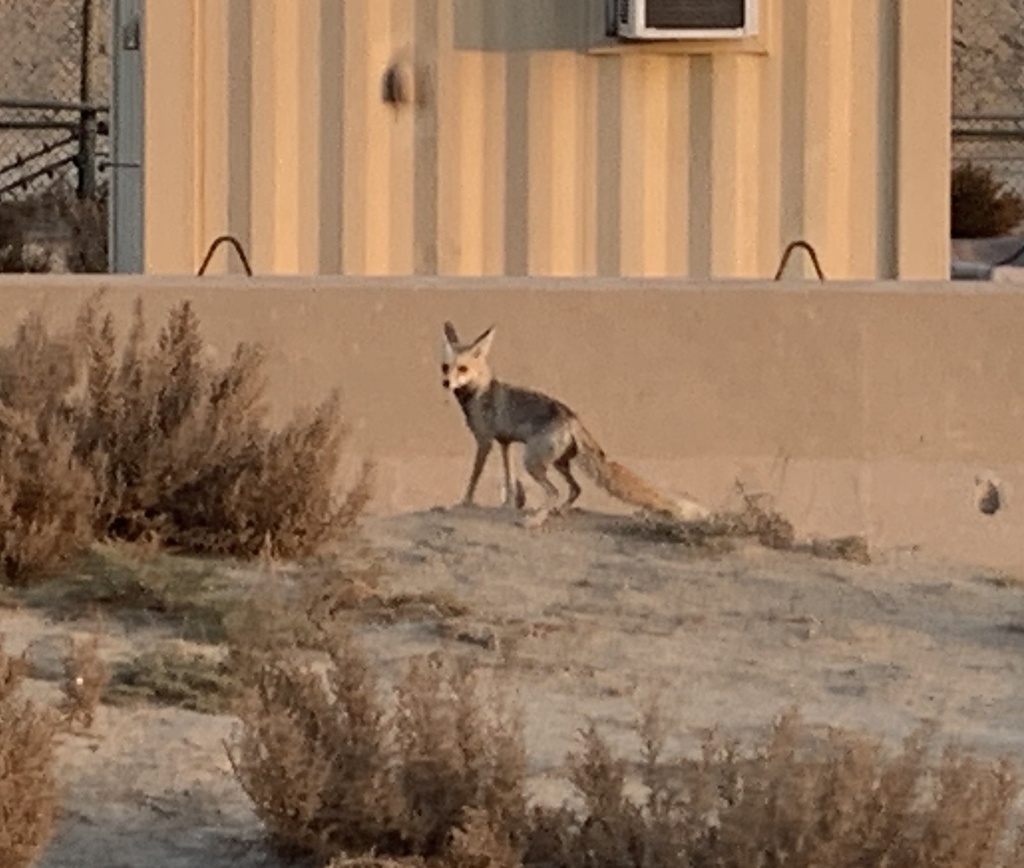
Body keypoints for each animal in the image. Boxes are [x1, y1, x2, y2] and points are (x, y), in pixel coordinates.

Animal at [441, 321, 710, 527]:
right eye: (445, 367)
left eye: (462, 368)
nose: (446, 383)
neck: (479, 391)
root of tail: (572, 417)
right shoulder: (504, 442)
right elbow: (508, 480)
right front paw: (506, 505)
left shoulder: (484, 441)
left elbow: (473, 478)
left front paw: (464, 503)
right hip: (559, 463)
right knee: (576, 489)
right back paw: (558, 511)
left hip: (535, 463)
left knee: (555, 491)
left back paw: (535, 520)